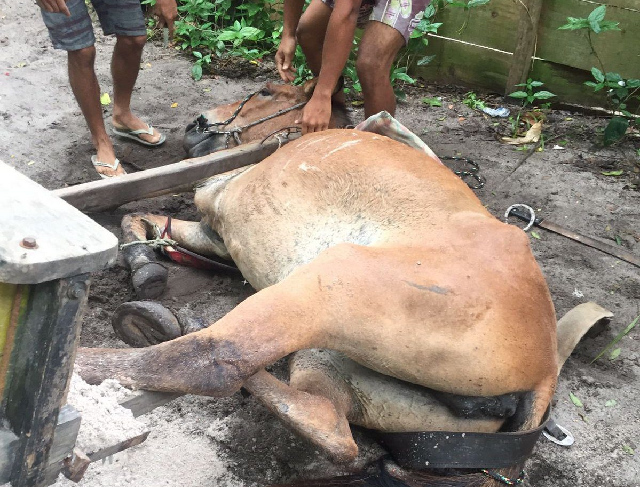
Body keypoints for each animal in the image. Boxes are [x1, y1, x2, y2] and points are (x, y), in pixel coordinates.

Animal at [75, 82, 608, 486]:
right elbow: (139, 220)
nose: (197, 123)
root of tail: (544, 371)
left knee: (210, 360)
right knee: (331, 427)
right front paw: (144, 263)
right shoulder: (214, 233)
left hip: (328, 279)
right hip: (333, 355)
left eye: (266, 91)